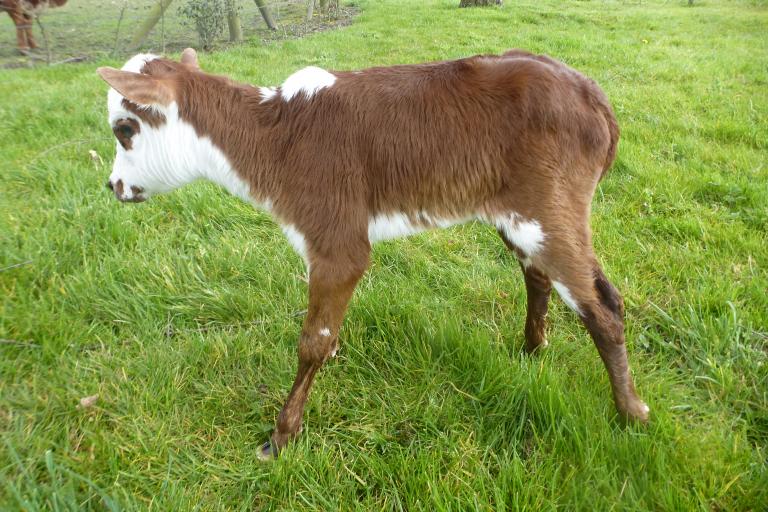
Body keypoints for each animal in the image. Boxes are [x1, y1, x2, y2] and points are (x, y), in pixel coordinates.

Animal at [96, 47, 648, 456]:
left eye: (124, 129)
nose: (113, 186)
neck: (277, 140)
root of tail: (594, 96)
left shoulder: (335, 238)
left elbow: (312, 340)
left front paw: (282, 435)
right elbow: (327, 335)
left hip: (551, 204)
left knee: (603, 304)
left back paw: (632, 414)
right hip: (516, 212)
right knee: (537, 275)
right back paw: (532, 350)